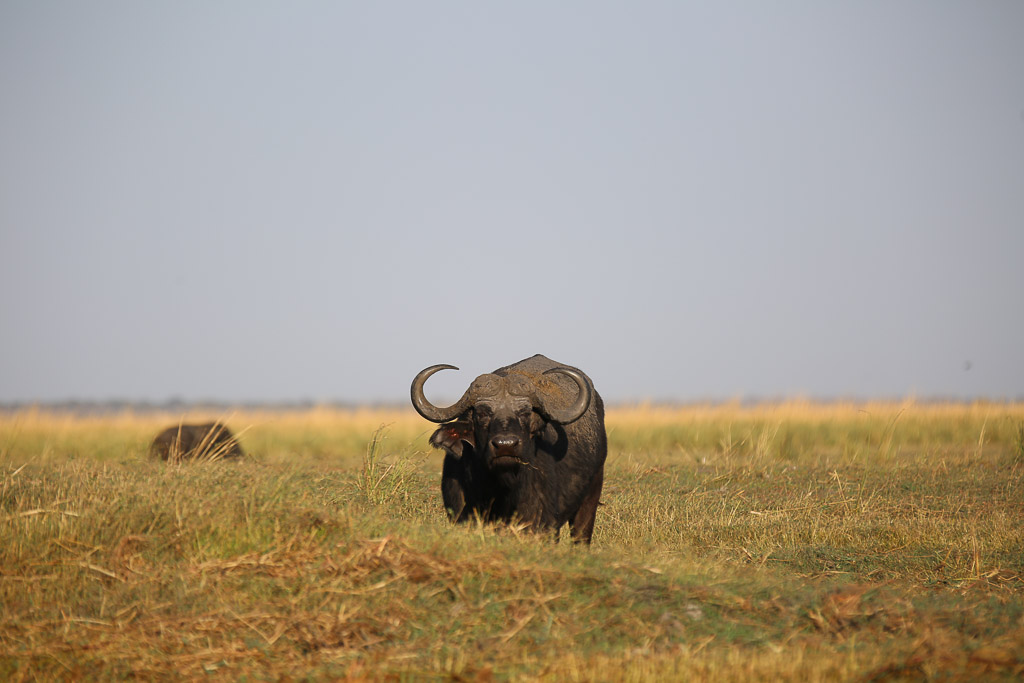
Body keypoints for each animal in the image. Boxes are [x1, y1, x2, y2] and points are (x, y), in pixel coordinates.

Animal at [411, 354, 607, 544]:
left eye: (525, 413)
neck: (502, 489)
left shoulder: (544, 523)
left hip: (590, 496)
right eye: (482, 413)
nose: (506, 446)